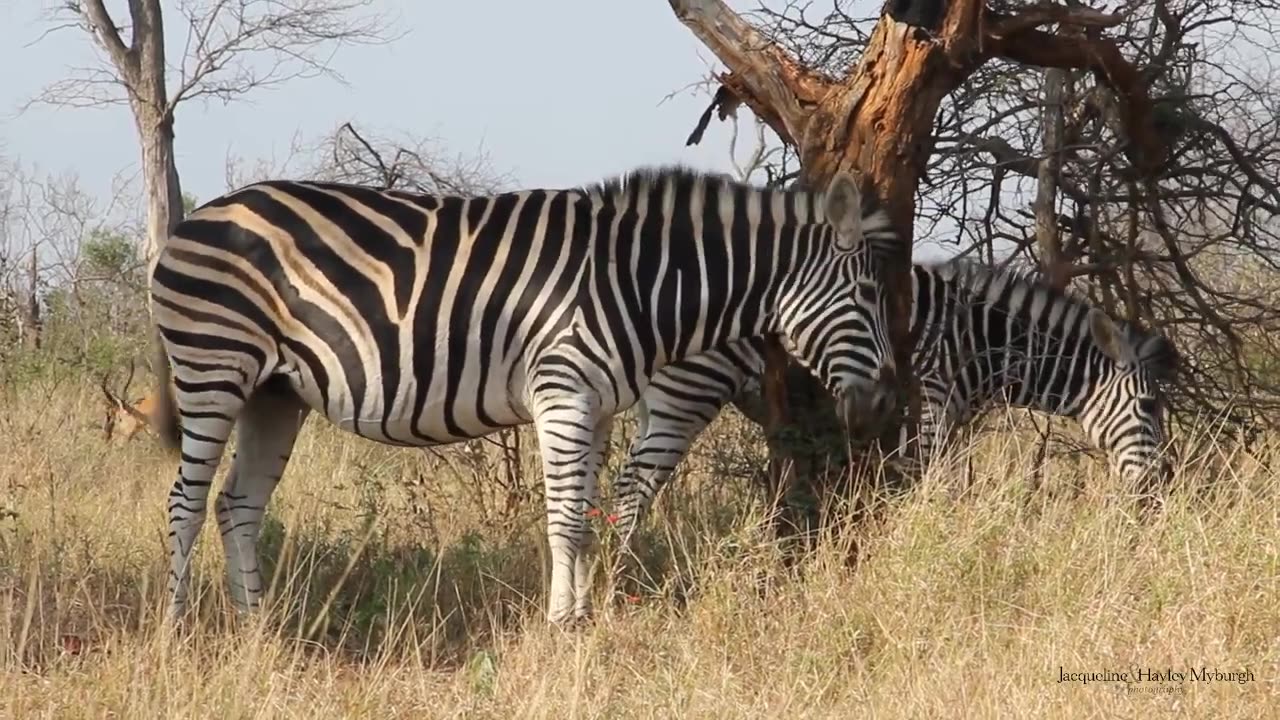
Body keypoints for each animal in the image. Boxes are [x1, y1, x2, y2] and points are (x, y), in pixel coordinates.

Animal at [145, 165, 901, 625]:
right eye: (868, 294)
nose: (884, 408)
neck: (638, 281)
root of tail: (193, 220)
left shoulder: (596, 407)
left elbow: (587, 513)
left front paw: (583, 617)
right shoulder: (563, 393)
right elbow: (564, 518)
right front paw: (562, 624)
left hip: (275, 392)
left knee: (238, 504)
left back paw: (257, 628)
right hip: (214, 365)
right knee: (185, 501)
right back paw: (180, 630)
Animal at [609, 257, 1177, 566]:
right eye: (1148, 405)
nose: (1160, 483)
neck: (976, 339)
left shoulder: (950, 413)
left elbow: (941, 479)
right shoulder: (933, 396)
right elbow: (934, 481)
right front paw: (929, 543)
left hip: (665, 399)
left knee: (628, 482)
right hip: (690, 389)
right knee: (635, 487)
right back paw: (620, 574)